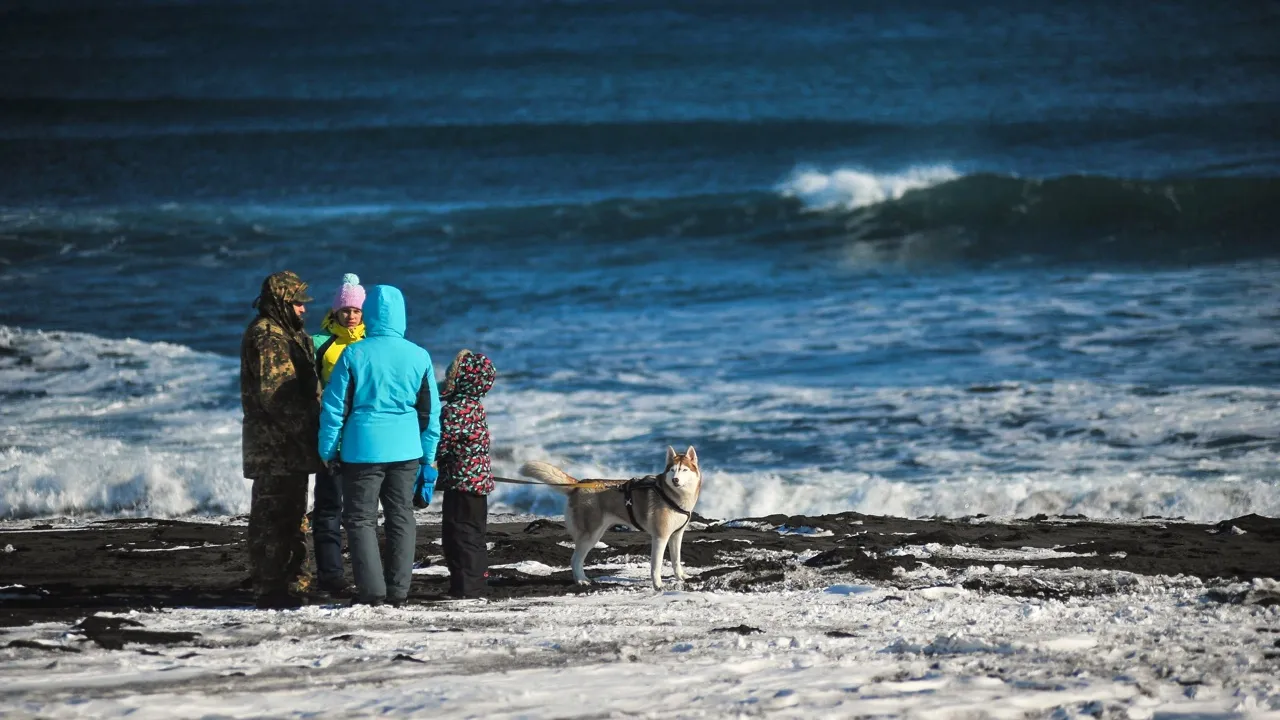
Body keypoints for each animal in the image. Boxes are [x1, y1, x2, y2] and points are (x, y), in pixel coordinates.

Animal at [517, 443, 701, 589]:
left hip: (596, 533)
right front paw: (658, 585)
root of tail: (579, 483)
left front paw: (681, 577)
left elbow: (676, 560)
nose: (676, 480)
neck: (673, 496)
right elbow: (656, 566)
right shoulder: (660, 537)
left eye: (684, 470)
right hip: (590, 535)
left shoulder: (676, 535)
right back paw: (581, 580)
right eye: (672, 470)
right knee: (575, 559)